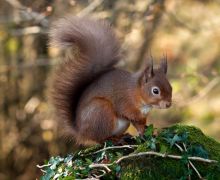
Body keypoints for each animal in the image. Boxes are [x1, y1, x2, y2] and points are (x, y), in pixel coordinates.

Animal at [49, 16, 173, 146]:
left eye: (171, 87)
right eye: (155, 91)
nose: (168, 104)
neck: (137, 92)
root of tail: (80, 131)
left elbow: (140, 124)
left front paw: (146, 132)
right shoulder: (125, 102)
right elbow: (132, 117)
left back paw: (122, 136)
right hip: (101, 111)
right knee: (99, 138)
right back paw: (114, 139)